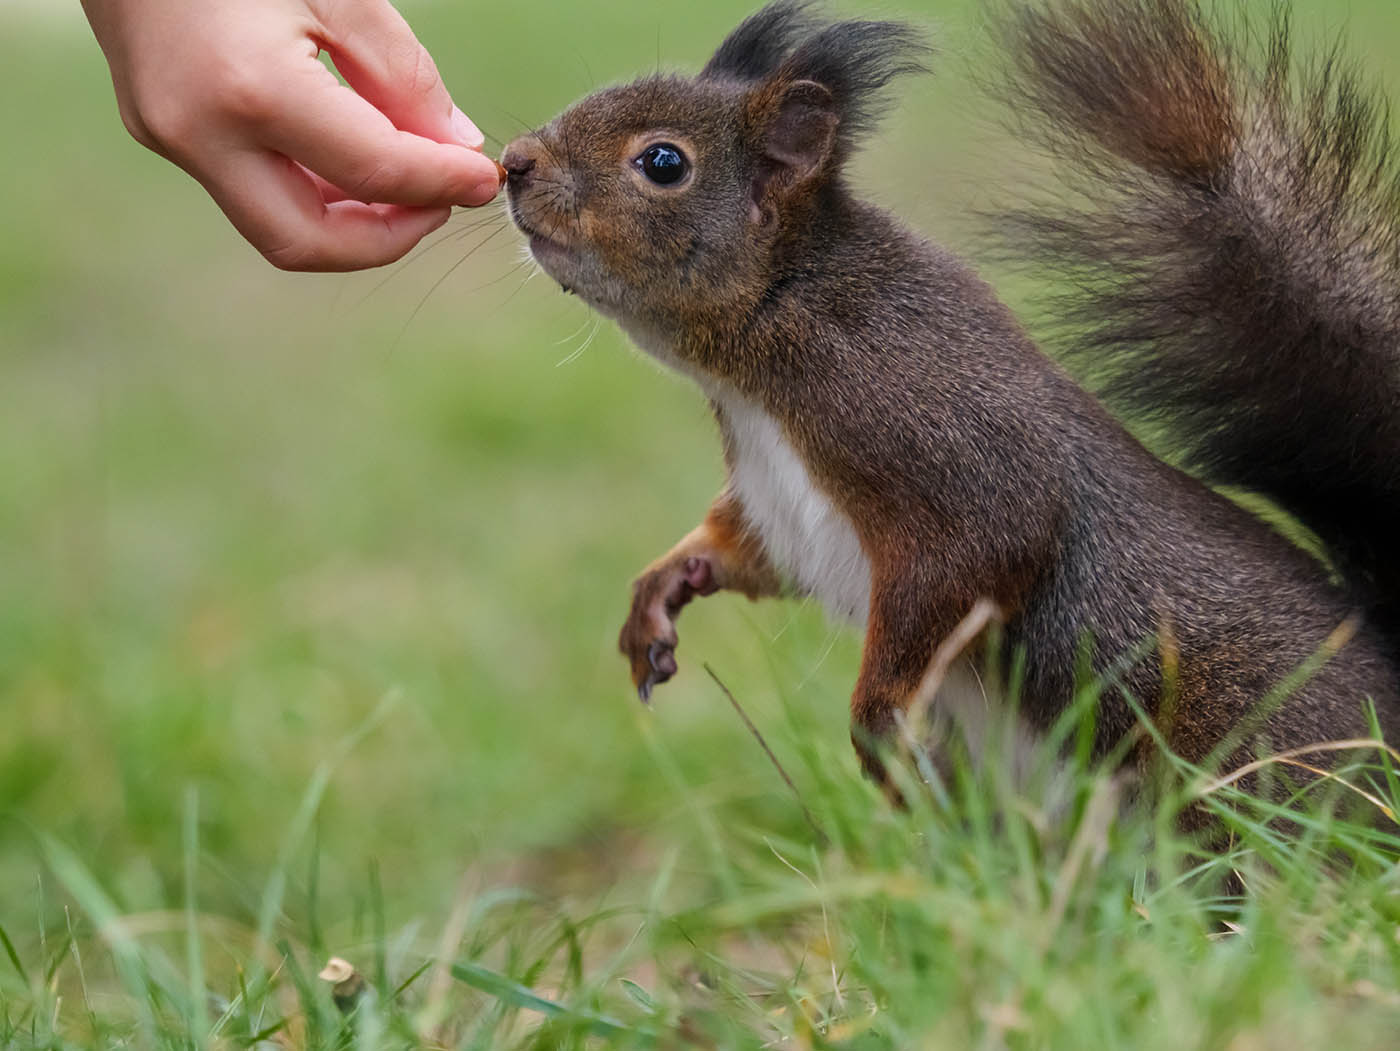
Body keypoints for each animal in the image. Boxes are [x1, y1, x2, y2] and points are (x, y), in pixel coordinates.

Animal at [504, 0, 1400, 789]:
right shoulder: (779, 505)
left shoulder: (944, 436)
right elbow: (745, 551)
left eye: (663, 163)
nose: (514, 162)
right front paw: (659, 594)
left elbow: (976, 555)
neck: (766, 355)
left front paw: (879, 716)